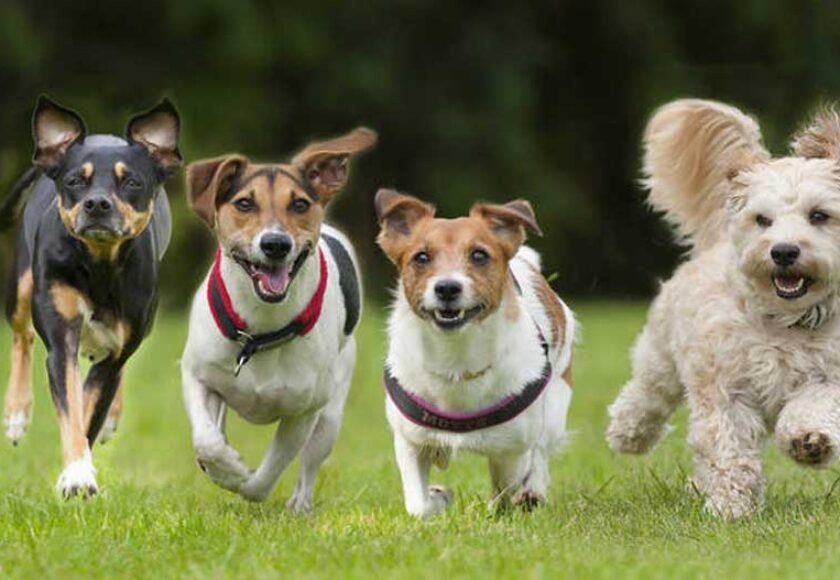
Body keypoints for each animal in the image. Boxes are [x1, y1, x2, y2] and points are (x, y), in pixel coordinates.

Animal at [0, 97, 181, 496]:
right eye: (74, 181)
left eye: (132, 181)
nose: (97, 203)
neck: (98, 265)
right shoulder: (60, 339)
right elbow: (71, 407)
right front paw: (78, 475)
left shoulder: (115, 352)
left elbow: (88, 411)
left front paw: (77, 474)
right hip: (21, 285)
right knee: (22, 336)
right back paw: (17, 413)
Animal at [182, 129, 376, 510]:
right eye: (244, 203)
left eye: (299, 204)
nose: (276, 243)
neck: (260, 332)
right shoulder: (197, 375)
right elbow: (207, 440)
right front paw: (225, 466)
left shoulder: (303, 412)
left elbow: (266, 475)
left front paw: (242, 479)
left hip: (330, 412)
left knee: (312, 459)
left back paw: (300, 504)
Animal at [378, 190, 576, 516]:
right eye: (421, 257)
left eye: (479, 255)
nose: (447, 287)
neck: (456, 357)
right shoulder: (409, 440)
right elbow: (418, 505)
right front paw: (439, 497)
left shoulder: (512, 449)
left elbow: (508, 483)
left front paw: (507, 502)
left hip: (556, 403)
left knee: (540, 451)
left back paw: (532, 491)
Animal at [608, 97, 840, 520]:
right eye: (763, 219)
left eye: (819, 215)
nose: (783, 251)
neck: (784, 323)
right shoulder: (724, 387)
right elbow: (726, 447)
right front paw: (731, 507)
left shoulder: (830, 377)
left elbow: (815, 405)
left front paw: (809, 440)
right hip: (662, 354)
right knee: (648, 392)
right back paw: (629, 431)